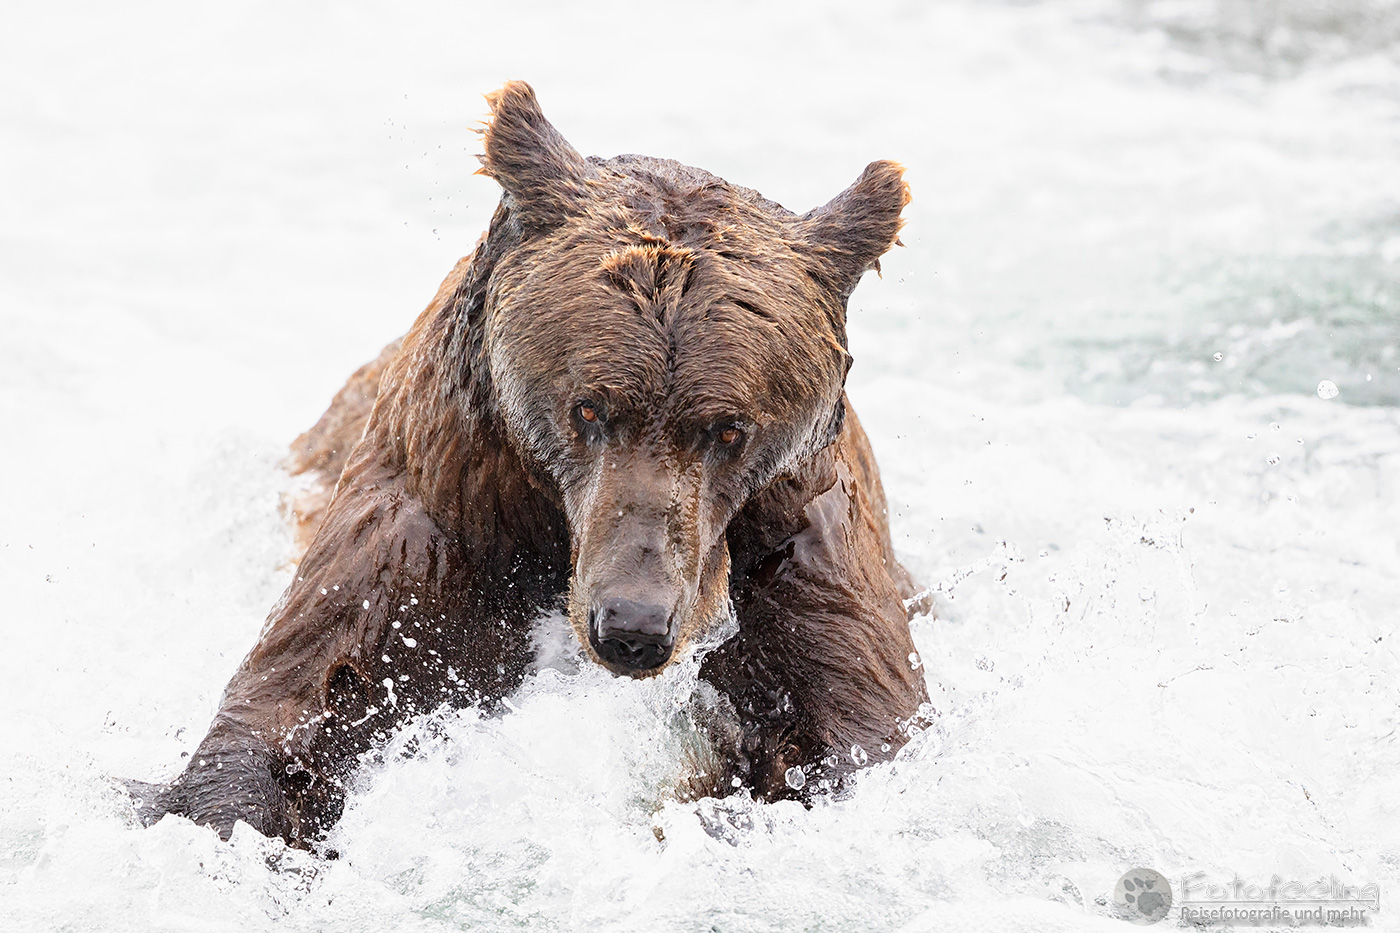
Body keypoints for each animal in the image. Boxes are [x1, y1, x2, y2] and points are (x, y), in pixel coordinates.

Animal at [132, 81, 930, 848]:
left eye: (729, 429)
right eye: (589, 409)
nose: (632, 624)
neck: (546, 530)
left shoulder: (799, 547)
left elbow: (856, 729)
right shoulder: (431, 513)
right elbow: (307, 694)